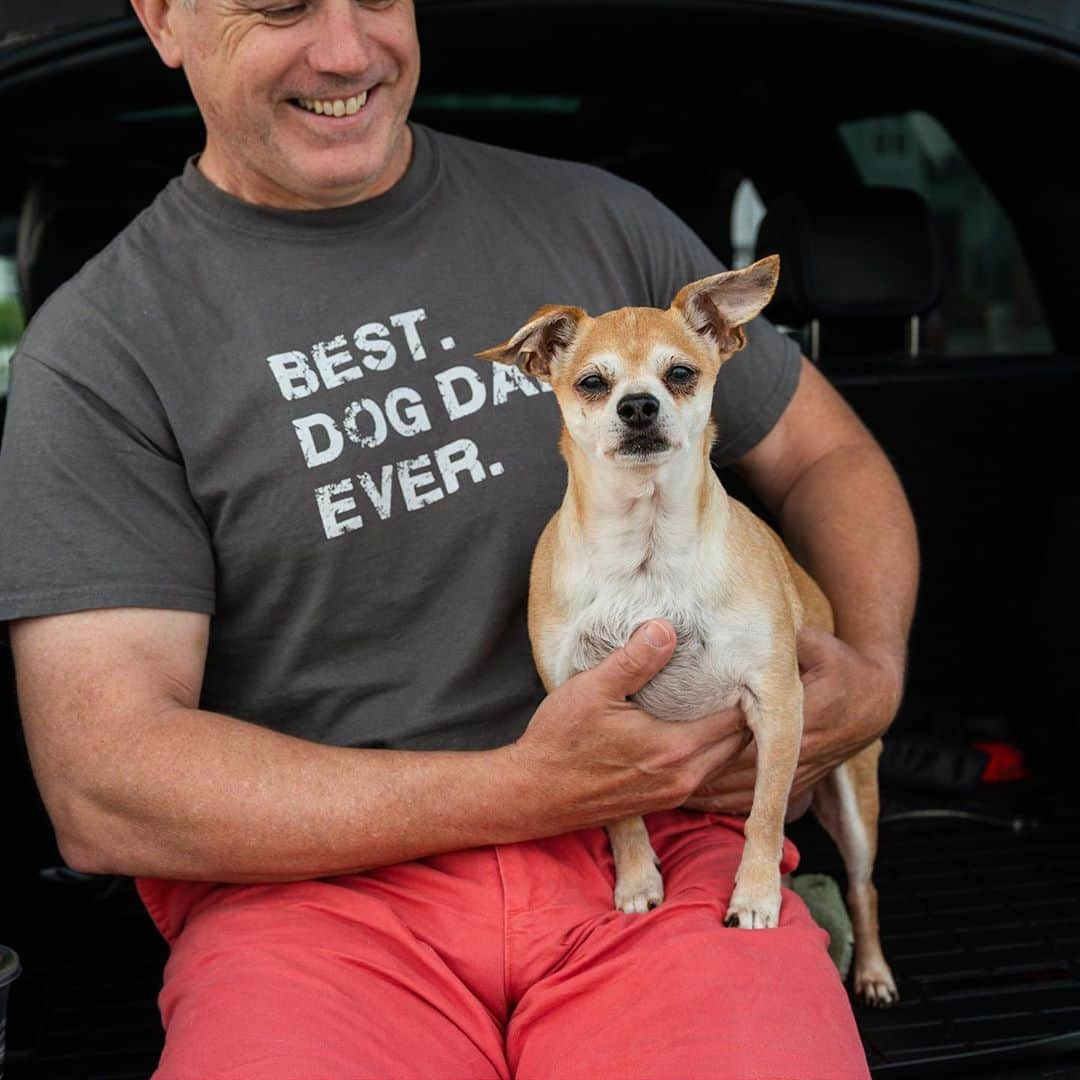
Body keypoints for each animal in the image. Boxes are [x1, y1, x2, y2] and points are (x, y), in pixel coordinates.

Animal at [477, 257, 898, 1006]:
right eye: (593, 383)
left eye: (680, 374)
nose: (639, 405)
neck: (646, 554)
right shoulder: (589, 719)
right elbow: (621, 814)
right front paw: (638, 880)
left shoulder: (778, 704)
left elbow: (764, 812)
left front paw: (755, 898)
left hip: (855, 798)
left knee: (861, 886)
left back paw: (872, 970)